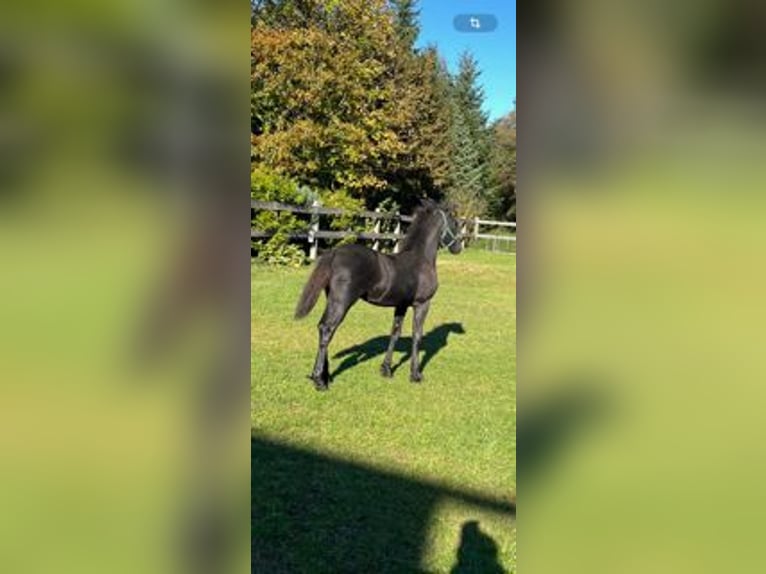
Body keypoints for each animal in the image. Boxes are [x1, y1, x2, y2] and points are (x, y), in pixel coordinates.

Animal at [294, 198, 463, 391]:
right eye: (454, 222)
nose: (458, 247)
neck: (420, 259)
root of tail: (335, 253)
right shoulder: (422, 304)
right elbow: (417, 336)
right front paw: (415, 375)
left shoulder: (401, 305)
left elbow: (395, 333)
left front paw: (386, 369)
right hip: (342, 302)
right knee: (327, 329)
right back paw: (319, 380)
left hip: (332, 299)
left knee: (323, 327)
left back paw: (325, 376)